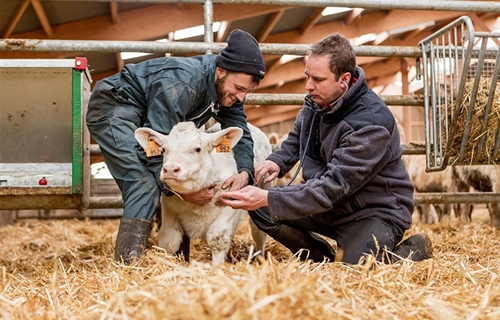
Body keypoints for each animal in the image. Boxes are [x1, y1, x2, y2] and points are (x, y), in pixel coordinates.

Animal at [135, 121, 272, 264]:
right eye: (164, 150)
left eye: (197, 149)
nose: (171, 169)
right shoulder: (168, 207)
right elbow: (169, 240)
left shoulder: (231, 202)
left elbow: (217, 238)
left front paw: (217, 267)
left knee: (259, 233)